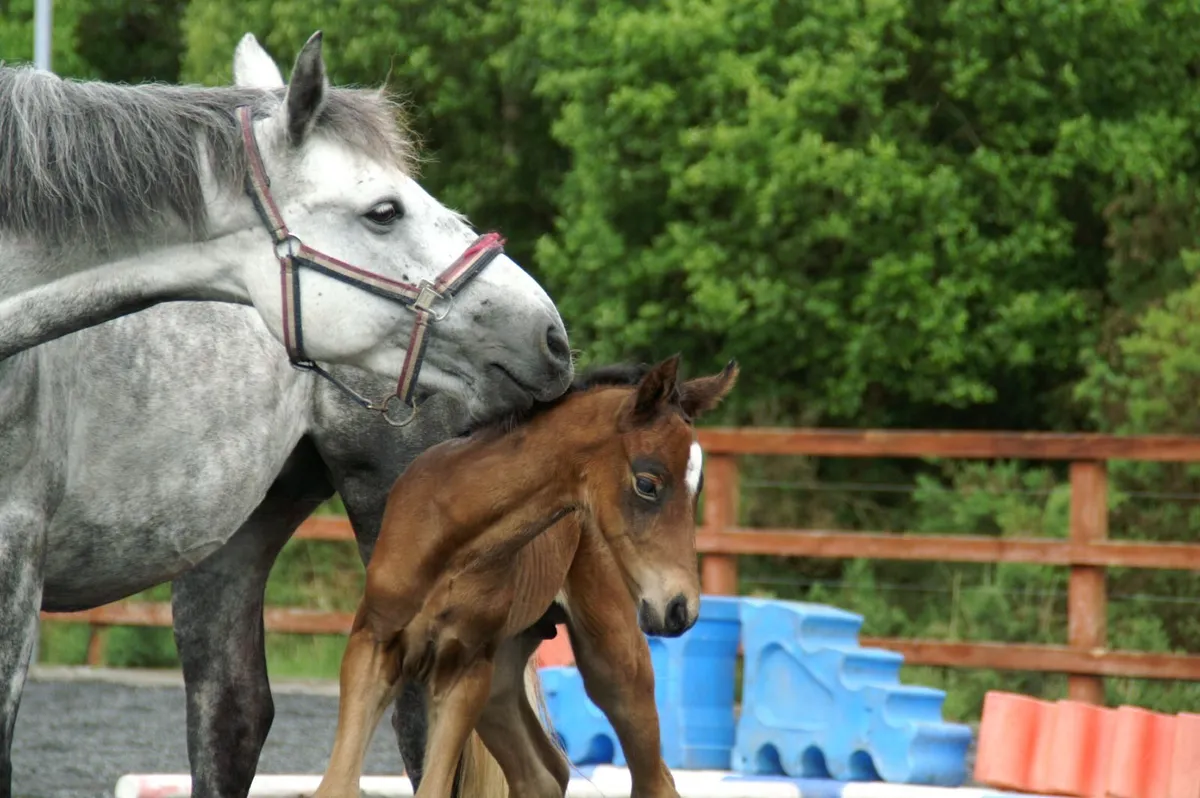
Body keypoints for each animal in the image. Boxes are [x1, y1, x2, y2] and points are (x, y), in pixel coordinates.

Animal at [313, 356, 739, 798]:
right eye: (647, 483)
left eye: (697, 488)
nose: (680, 608)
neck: (452, 537)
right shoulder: (372, 648)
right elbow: (336, 784)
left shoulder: (462, 670)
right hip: (501, 681)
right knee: (542, 773)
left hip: (613, 662)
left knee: (652, 778)